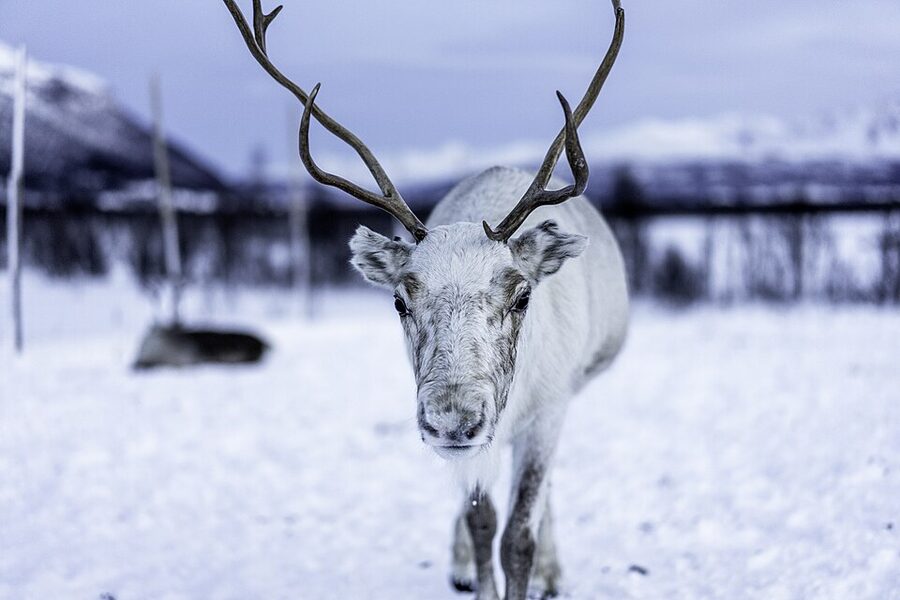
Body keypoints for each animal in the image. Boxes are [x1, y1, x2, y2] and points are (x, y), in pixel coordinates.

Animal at [222, 1, 628, 598]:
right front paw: (477, 579)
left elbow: (519, 535)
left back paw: (553, 573)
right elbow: (482, 524)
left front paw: (536, 571)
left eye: (522, 296)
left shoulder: (549, 409)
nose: (452, 419)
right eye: (399, 301)